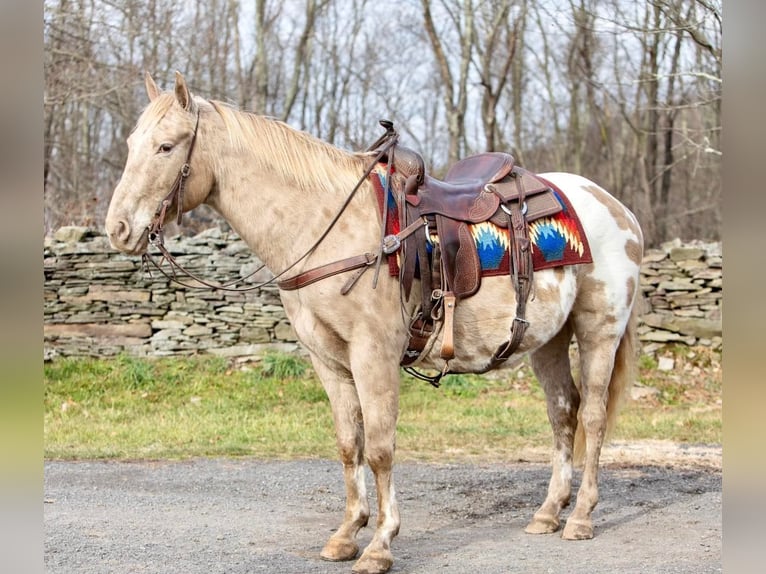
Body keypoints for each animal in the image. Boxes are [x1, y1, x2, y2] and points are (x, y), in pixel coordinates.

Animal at [105, 72, 644, 574]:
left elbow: (381, 447)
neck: (326, 227)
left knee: (593, 417)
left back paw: (581, 517)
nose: (118, 229)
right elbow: (350, 445)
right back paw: (549, 512)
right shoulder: (327, 360)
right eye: (132, 144)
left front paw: (380, 545)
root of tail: (615, 207)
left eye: (166, 146)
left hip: (598, 329)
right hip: (547, 340)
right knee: (563, 413)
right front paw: (347, 535)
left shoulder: (374, 354)